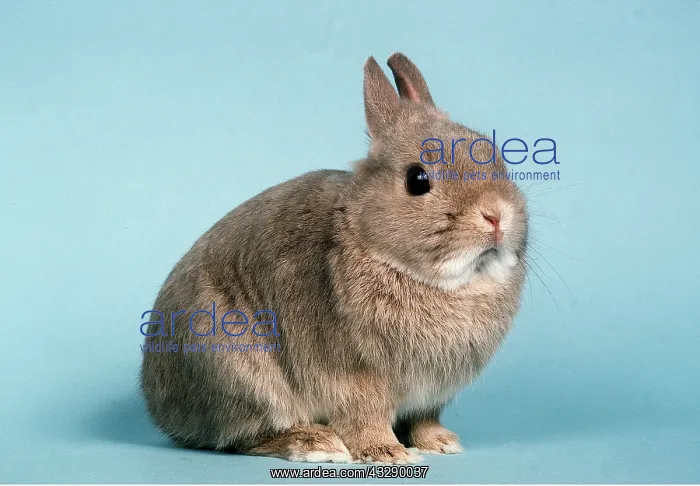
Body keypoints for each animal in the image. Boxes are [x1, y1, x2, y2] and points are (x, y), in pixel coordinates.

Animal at [140, 52, 528, 464]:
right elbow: (365, 417)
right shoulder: (355, 381)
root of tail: (160, 406)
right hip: (241, 373)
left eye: (494, 155)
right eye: (417, 179)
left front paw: (439, 442)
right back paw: (315, 444)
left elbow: (423, 419)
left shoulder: (430, 396)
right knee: (246, 436)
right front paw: (387, 454)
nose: (496, 215)